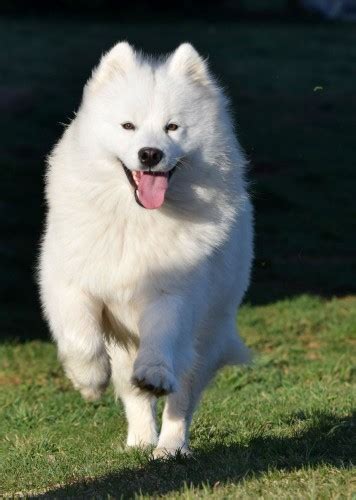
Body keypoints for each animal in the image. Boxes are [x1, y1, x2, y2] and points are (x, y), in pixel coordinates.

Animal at [39, 43, 253, 458]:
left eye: (172, 127)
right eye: (128, 127)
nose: (150, 154)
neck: (135, 219)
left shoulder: (175, 292)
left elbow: (160, 336)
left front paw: (153, 373)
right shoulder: (69, 281)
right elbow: (80, 337)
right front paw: (89, 380)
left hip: (203, 341)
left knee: (181, 400)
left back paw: (169, 448)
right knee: (132, 394)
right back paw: (139, 442)